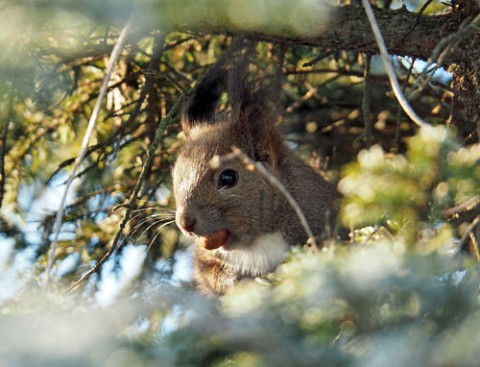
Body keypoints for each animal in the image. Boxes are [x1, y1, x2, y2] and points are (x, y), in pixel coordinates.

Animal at [172, 41, 338, 298]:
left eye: (228, 177)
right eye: (175, 176)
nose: (184, 223)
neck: (256, 244)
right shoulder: (205, 261)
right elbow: (211, 276)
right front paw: (232, 279)